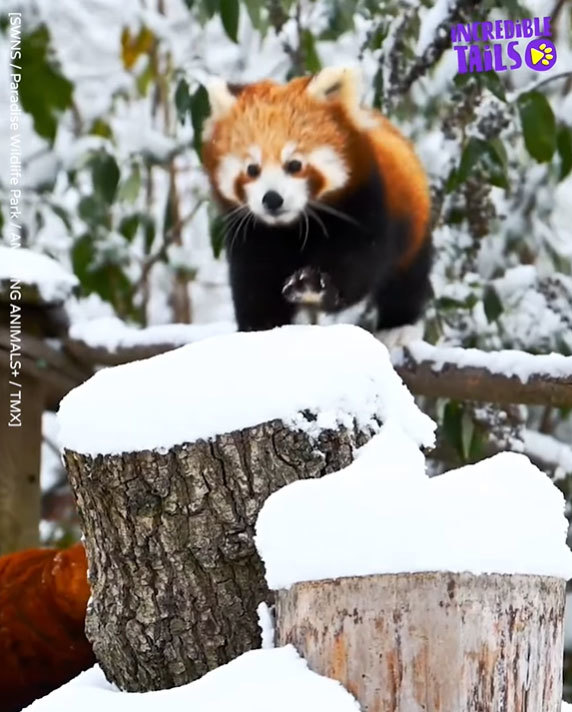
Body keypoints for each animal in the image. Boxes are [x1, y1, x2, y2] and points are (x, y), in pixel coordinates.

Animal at [203, 67, 432, 340]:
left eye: (294, 165)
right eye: (252, 169)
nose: (272, 199)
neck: (291, 227)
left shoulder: (364, 205)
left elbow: (357, 264)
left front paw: (313, 285)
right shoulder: (251, 233)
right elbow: (254, 285)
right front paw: (259, 328)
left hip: (414, 223)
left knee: (407, 278)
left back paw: (399, 325)